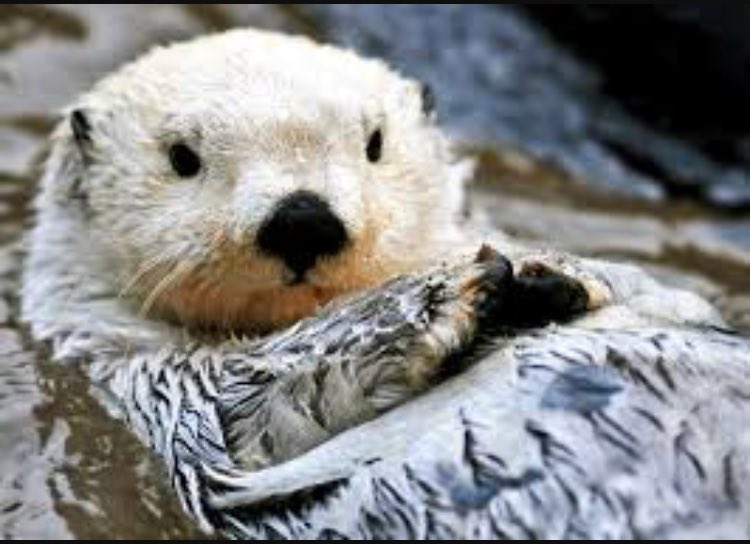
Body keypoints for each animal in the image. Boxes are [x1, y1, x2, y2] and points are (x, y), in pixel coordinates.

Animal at [21, 29, 739, 537]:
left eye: (374, 143)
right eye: (181, 158)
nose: (303, 219)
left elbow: (666, 297)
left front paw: (554, 273)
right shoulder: (158, 383)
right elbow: (251, 398)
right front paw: (442, 296)